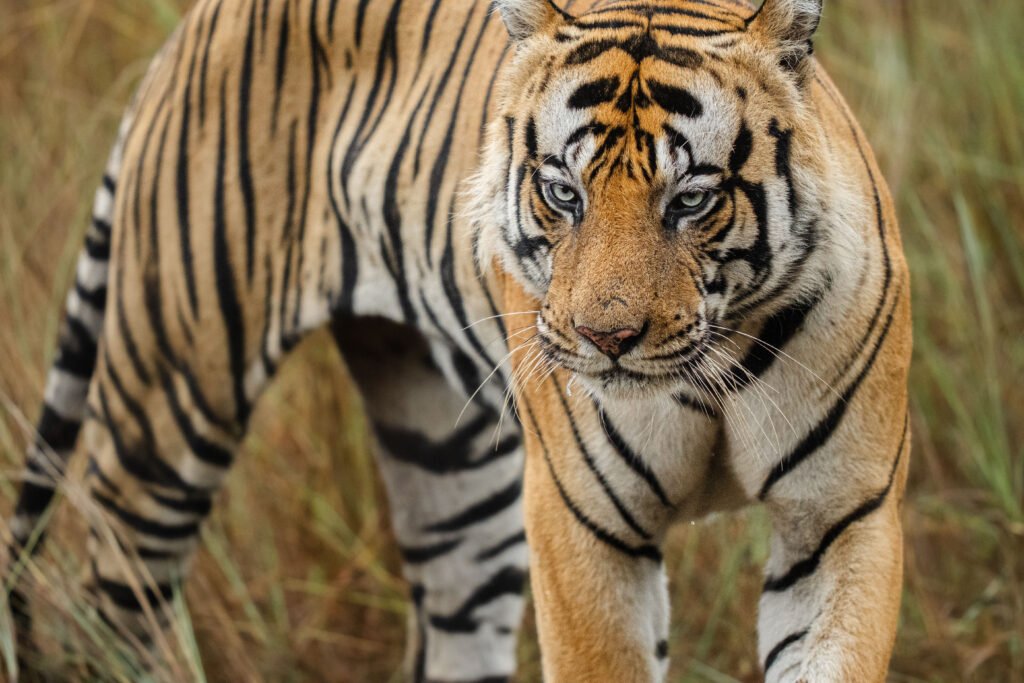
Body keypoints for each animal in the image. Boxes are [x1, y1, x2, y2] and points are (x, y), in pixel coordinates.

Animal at [2, 0, 912, 681]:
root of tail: (192, 27)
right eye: (562, 192)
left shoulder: (840, 517)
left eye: (691, 199)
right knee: (109, 609)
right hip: (163, 415)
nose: (607, 338)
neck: (715, 364)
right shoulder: (584, 522)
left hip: (450, 471)